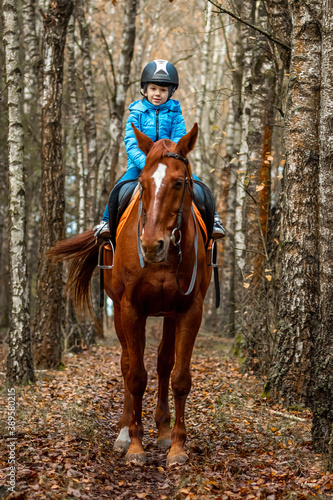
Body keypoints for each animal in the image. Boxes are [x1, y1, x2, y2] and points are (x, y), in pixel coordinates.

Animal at [48, 123, 211, 466]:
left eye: (179, 182)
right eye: (143, 184)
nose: (151, 245)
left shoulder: (190, 310)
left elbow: (179, 377)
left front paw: (177, 447)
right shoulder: (131, 308)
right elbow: (135, 375)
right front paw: (135, 446)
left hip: (169, 314)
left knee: (163, 363)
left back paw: (162, 432)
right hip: (120, 311)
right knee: (126, 364)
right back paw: (124, 434)